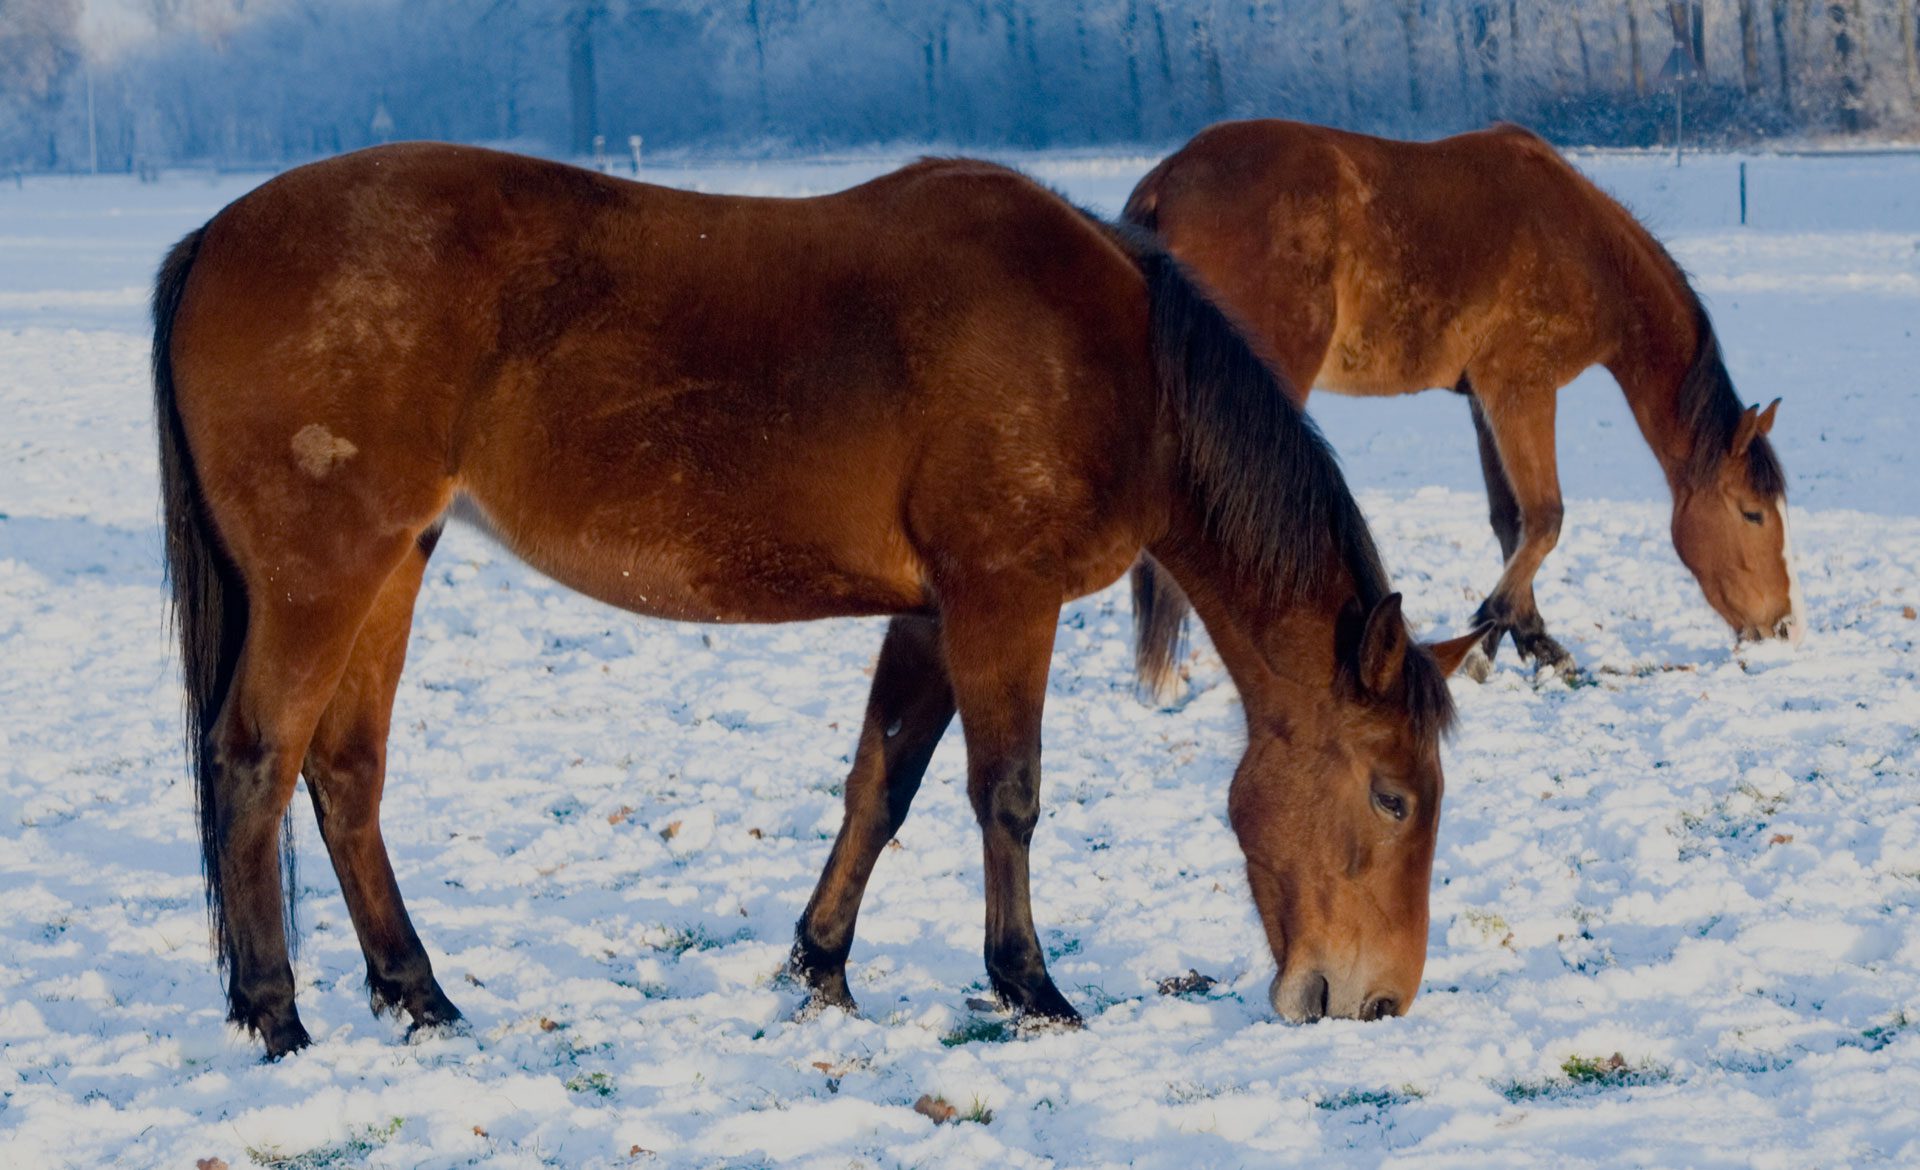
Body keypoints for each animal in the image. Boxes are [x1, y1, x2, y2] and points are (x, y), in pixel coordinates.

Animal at [152, 145, 1484, 1059]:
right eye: (1392, 796)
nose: (1375, 1000)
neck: (1120, 361)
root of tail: (216, 234)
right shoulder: (1004, 600)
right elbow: (1007, 794)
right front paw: (1031, 987)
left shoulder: (934, 613)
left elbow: (881, 784)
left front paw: (821, 968)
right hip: (326, 575)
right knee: (255, 761)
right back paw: (277, 1015)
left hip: (393, 565)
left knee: (345, 775)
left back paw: (417, 993)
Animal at [1122, 119, 1800, 694]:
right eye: (1752, 513)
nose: (1783, 626)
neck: (1582, 244)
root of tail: (1168, 178)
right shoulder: (1522, 389)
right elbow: (1546, 518)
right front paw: (1485, 642)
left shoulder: (1484, 402)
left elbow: (1511, 522)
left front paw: (1531, 640)